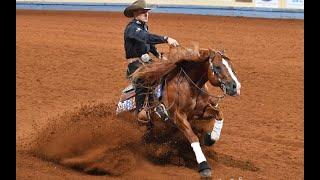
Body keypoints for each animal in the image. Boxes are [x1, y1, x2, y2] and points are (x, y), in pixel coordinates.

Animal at [117, 45, 240, 178]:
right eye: (217, 67)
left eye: (231, 66)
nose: (235, 87)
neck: (189, 86)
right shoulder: (178, 116)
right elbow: (193, 137)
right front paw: (204, 166)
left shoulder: (201, 111)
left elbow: (219, 114)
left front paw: (210, 138)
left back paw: (177, 159)